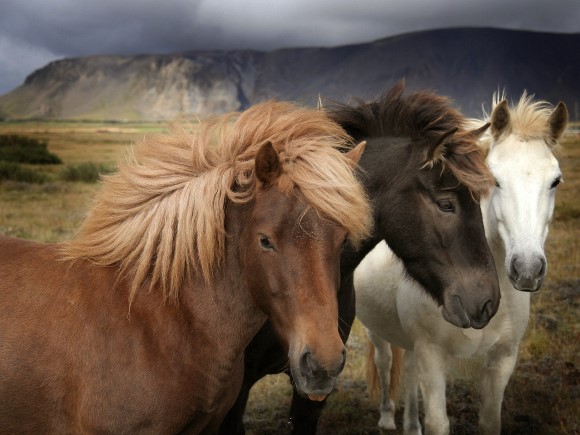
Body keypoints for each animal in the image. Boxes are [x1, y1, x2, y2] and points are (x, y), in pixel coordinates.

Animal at [356, 93, 568, 435]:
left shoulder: (503, 359)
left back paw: (410, 425)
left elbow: (490, 420)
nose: (527, 269)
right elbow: (438, 423)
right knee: (385, 362)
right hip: (376, 329)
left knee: (409, 370)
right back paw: (387, 418)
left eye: (555, 181)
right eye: (495, 180)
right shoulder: (432, 355)